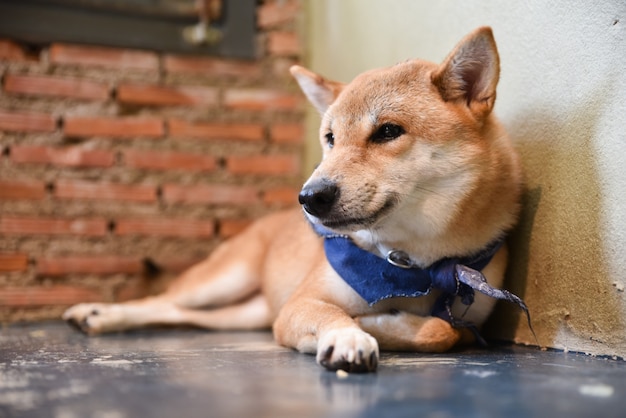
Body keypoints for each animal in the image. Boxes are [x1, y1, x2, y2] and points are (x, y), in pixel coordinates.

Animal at [62, 27, 520, 372]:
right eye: (330, 138)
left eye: (388, 131)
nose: (310, 196)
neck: (415, 267)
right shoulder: (300, 305)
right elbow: (338, 315)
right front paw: (352, 333)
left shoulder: (471, 318)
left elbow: (445, 331)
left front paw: (381, 323)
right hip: (223, 281)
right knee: (162, 301)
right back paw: (98, 313)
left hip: (248, 312)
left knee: (182, 315)